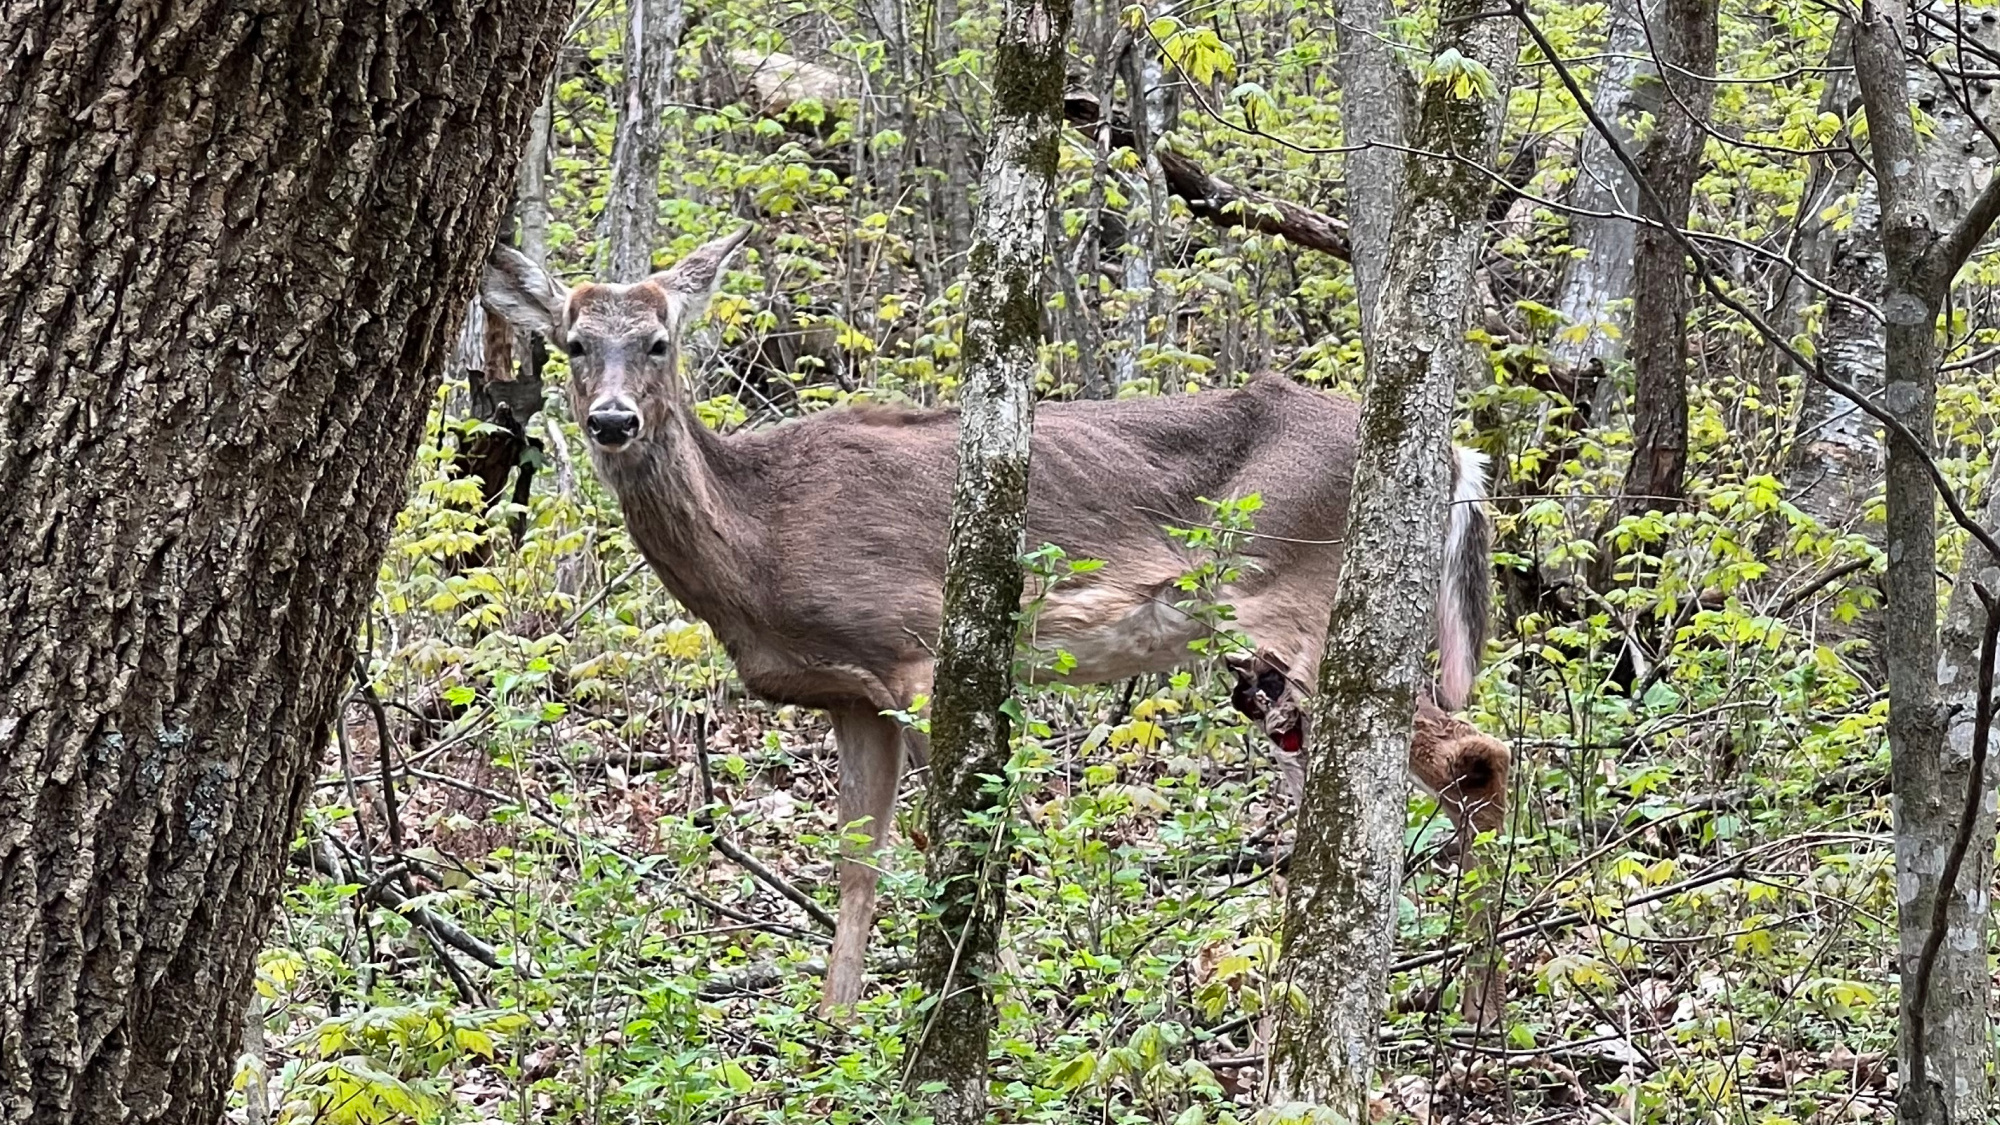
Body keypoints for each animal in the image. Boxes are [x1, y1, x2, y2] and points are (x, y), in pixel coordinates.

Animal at [478, 227, 1512, 1019]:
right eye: (572, 342)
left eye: (659, 340)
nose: (613, 421)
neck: (762, 533)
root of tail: (1459, 457)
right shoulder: (852, 695)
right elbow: (857, 860)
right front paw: (833, 1028)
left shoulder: (920, 648)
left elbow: (961, 840)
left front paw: (995, 1012)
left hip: (1304, 602)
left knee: (1475, 754)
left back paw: (1474, 1008)